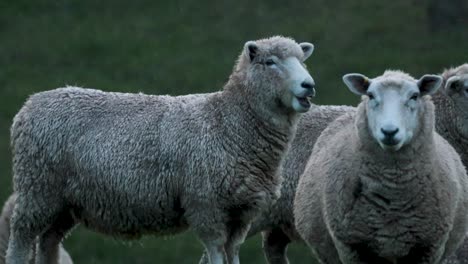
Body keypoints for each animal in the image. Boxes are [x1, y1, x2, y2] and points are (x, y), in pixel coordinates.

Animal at [3, 36, 316, 264]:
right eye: (270, 62)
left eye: (303, 61)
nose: (309, 85)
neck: (227, 122)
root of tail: (31, 103)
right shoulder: (206, 205)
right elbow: (216, 254)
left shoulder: (241, 212)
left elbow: (232, 254)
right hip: (37, 189)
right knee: (20, 242)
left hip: (63, 202)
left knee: (49, 242)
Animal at [294, 69, 468, 262]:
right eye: (370, 95)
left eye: (414, 96)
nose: (389, 131)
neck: (394, 194)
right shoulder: (352, 246)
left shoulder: (428, 246)